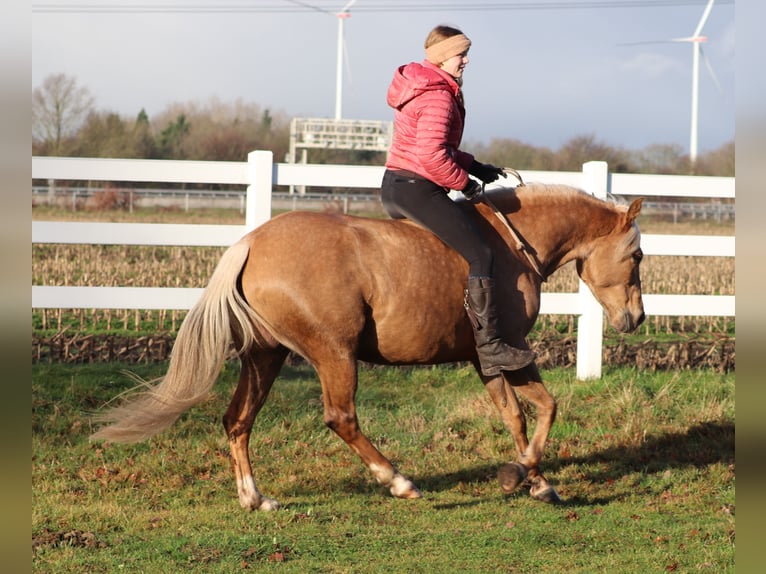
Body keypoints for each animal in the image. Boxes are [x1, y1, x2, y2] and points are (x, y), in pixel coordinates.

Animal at [91, 184, 648, 512]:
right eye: (639, 254)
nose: (636, 319)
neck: (512, 244)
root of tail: (251, 242)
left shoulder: (488, 358)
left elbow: (522, 414)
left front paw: (534, 480)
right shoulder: (508, 347)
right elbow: (543, 410)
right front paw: (522, 475)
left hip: (265, 357)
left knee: (238, 420)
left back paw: (256, 498)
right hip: (333, 354)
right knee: (341, 418)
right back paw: (398, 481)